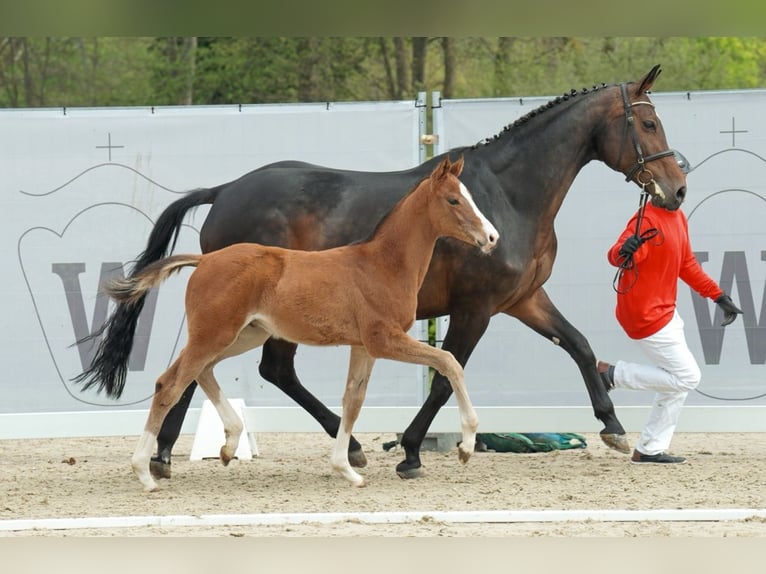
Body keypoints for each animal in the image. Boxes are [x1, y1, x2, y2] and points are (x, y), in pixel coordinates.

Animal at [100, 157, 499, 491]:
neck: (382, 264)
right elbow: (449, 362)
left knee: (200, 372)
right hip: (214, 334)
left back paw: (229, 444)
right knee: (170, 383)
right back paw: (145, 472)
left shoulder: (362, 346)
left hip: (242, 336)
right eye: (453, 200)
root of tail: (205, 260)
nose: (492, 238)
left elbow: (353, 400)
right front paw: (466, 445)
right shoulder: (384, 339)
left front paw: (347, 468)